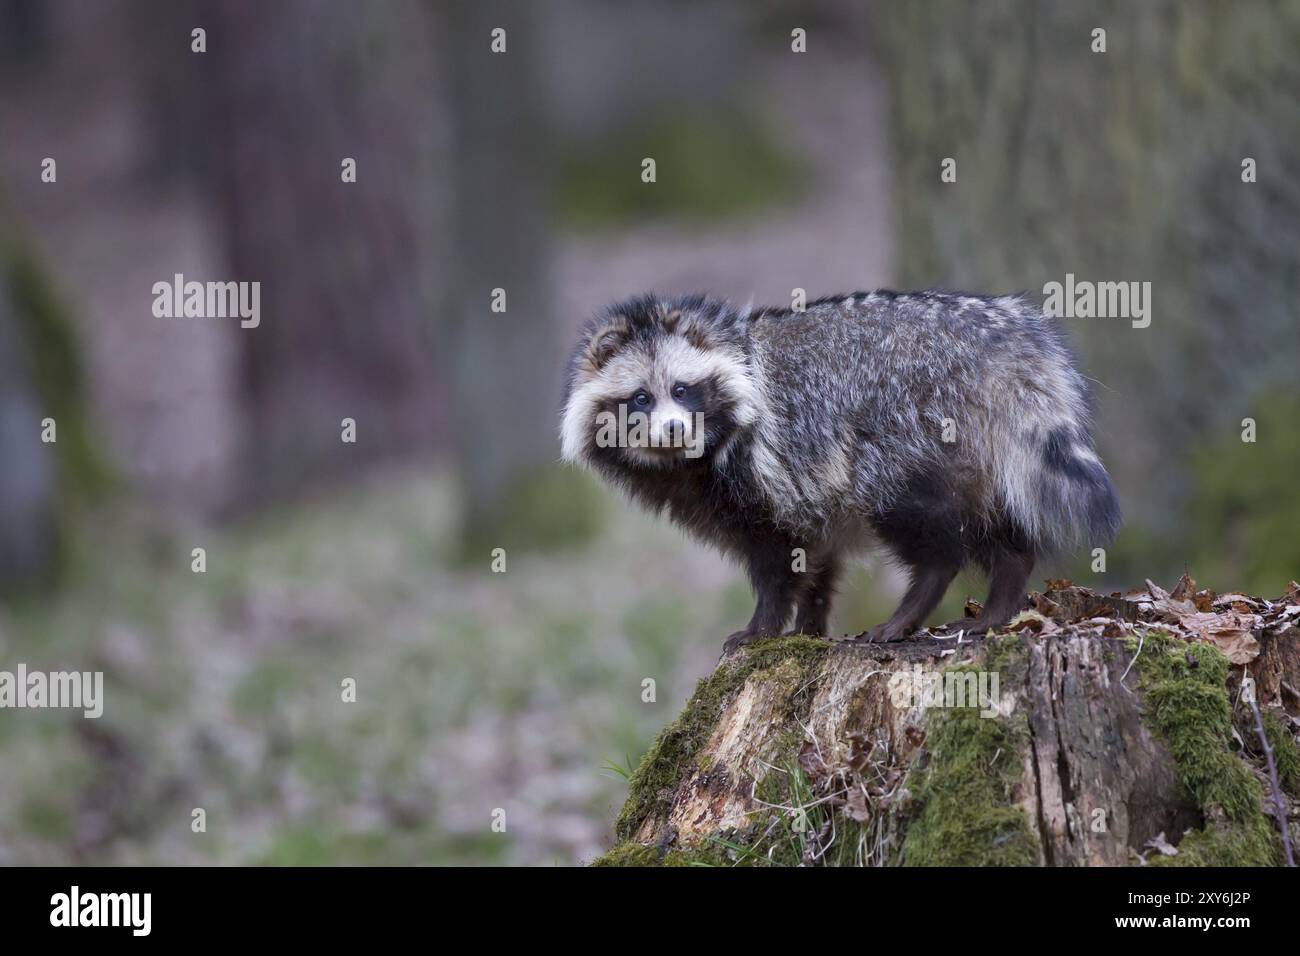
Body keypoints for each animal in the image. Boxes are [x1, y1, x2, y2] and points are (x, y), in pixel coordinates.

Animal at [559, 290, 1118, 650]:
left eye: (681, 389)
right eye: (640, 398)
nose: (674, 429)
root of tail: (1001, 344)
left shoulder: (764, 467)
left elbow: (776, 560)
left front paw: (763, 625)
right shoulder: (806, 489)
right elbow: (816, 555)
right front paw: (808, 625)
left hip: (909, 428)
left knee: (915, 516)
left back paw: (919, 597)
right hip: (979, 449)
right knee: (995, 520)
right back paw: (1005, 592)